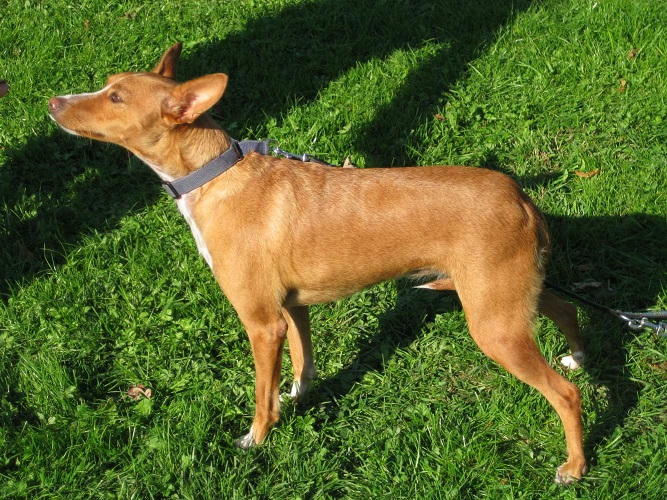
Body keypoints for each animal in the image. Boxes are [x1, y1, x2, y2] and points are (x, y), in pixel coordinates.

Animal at [49, 43, 587, 483]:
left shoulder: (261, 323)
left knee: (566, 394)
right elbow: (302, 363)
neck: (215, 176)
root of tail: (520, 196)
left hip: (493, 323)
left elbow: (260, 395)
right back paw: (578, 356)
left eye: (117, 98)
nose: (52, 103)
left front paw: (257, 439)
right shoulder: (291, 308)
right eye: (108, 85)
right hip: (507, 293)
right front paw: (298, 398)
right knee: (565, 307)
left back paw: (575, 466)